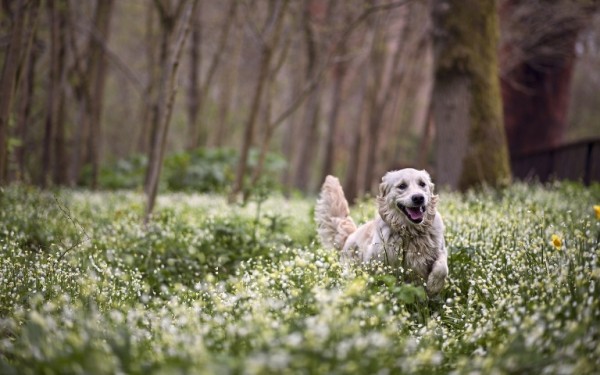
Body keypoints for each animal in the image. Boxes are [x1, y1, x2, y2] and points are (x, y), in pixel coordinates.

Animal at [316, 170, 448, 296]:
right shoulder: (377, 261)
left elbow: (442, 268)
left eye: (422, 184)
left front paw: (434, 286)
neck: (410, 231)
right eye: (402, 186)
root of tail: (350, 236)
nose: (418, 198)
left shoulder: (440, 250)